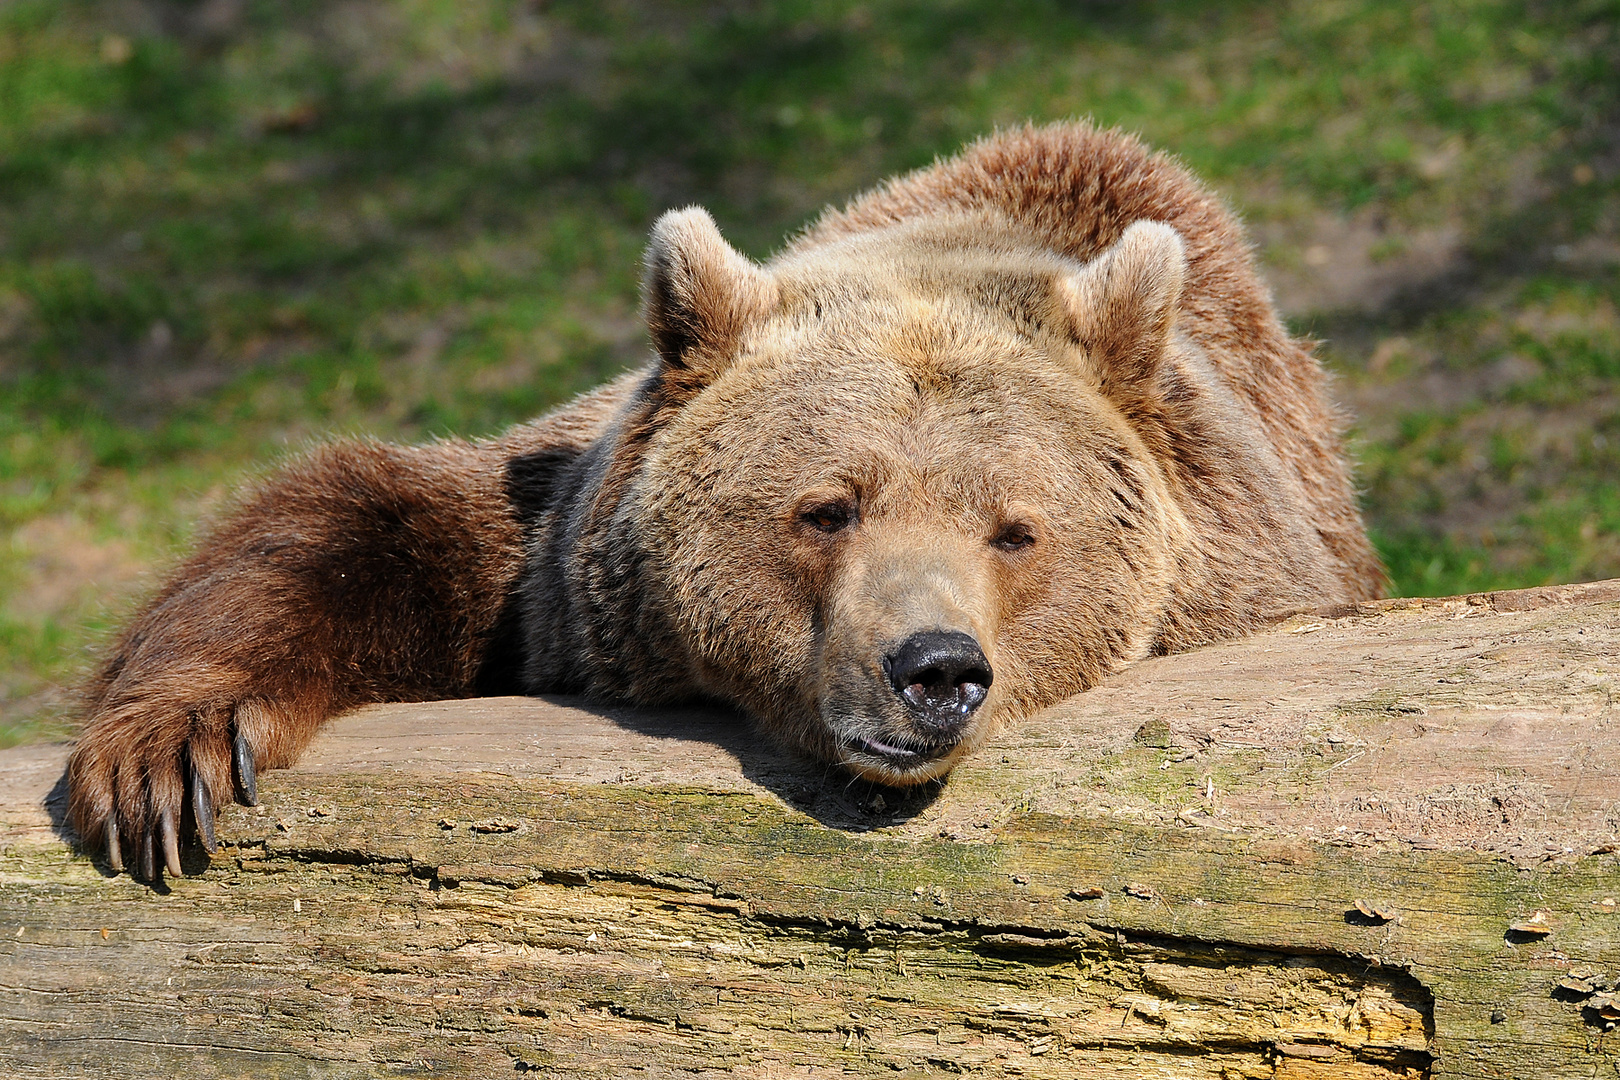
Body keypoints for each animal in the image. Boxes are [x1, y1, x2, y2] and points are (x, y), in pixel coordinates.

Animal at [63, 122, 1380, 880]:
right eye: (828, 507)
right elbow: (357, 524)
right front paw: (172, 759)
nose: (935, 669)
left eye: (1016, 530)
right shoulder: (546, 551)